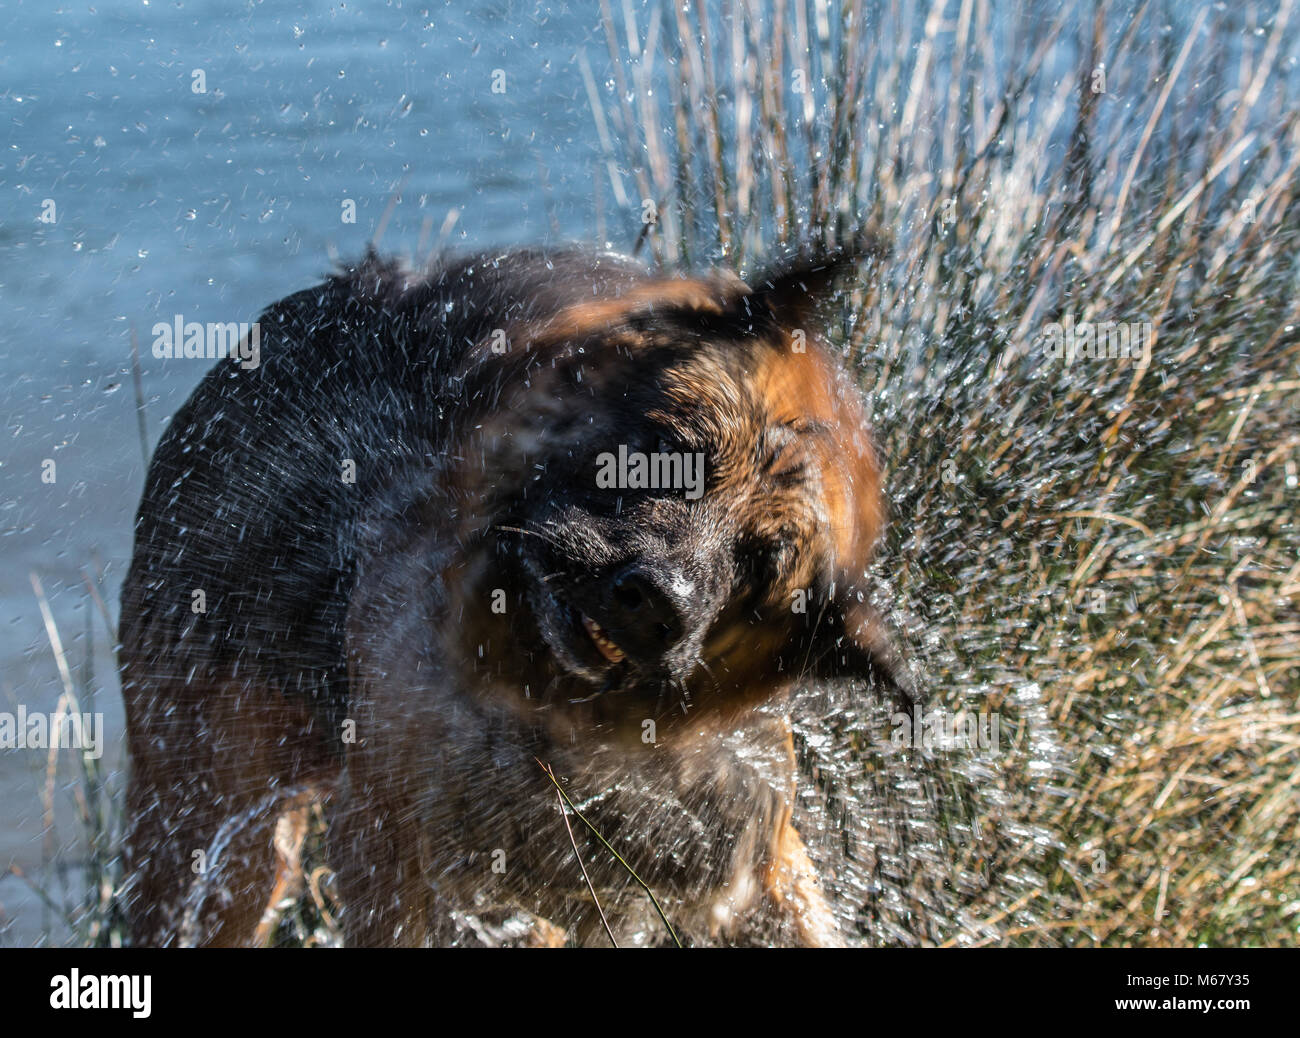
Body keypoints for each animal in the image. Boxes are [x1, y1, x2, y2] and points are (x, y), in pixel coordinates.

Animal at [119, 244, 915, 952]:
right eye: (679, 454)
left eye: (759, 573)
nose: (659, 602)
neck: (534, 707)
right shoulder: (384, 842)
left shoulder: (741, 849)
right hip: (209, 826)